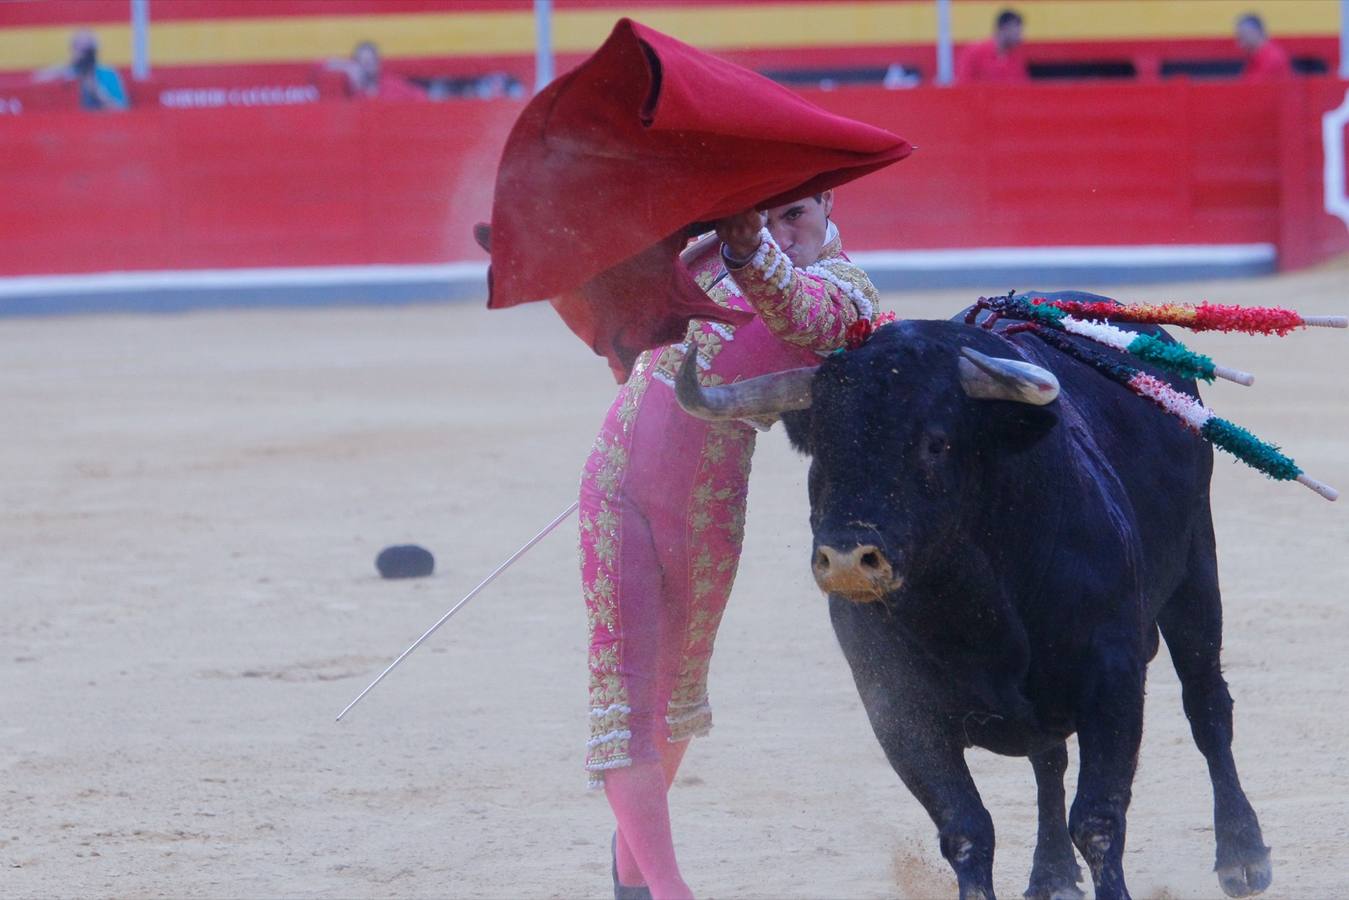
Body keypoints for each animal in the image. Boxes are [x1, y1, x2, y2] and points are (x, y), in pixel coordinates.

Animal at [679, 302, 1268, 900]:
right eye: (822, 446)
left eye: (936, 442)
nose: (847, 559)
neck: (967, 604)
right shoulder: (895, 706)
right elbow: (966, 829)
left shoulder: (1114, 678)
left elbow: (1099, 819)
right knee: (1049, 759)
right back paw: (1053, 875)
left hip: (1196, 573)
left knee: (1206, 705)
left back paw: (1242, 857)